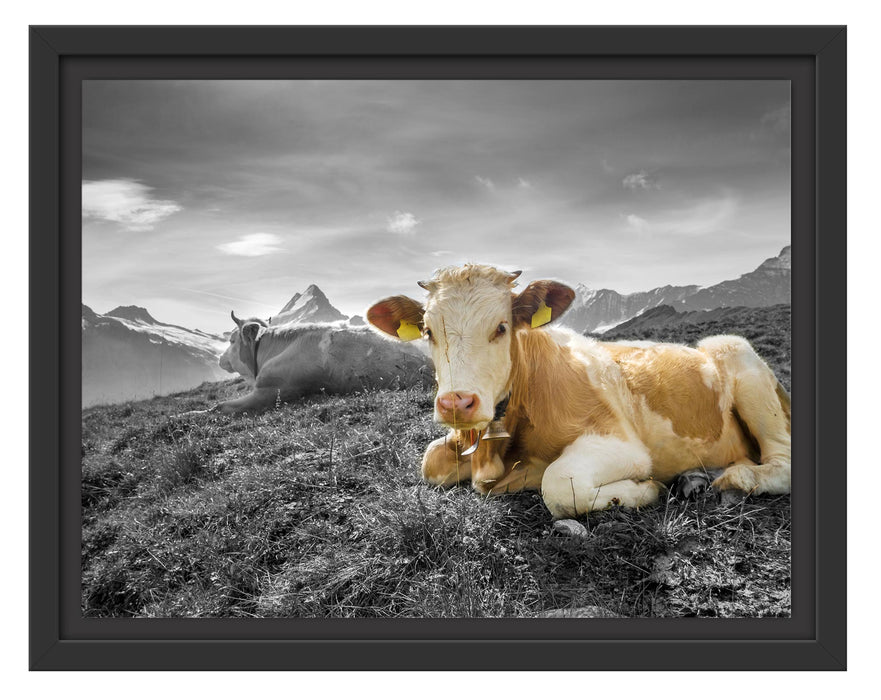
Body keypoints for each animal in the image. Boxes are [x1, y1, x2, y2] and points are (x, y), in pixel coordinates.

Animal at [366, 264, 791, 519]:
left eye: (501, 327)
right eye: (427, 331)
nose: (457, 403)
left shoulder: (622, 443)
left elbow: (559, 484)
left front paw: (645, 489)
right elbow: (430, 462)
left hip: (736, 353)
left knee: (781, 462)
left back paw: (735, 478)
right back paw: (695, 478)